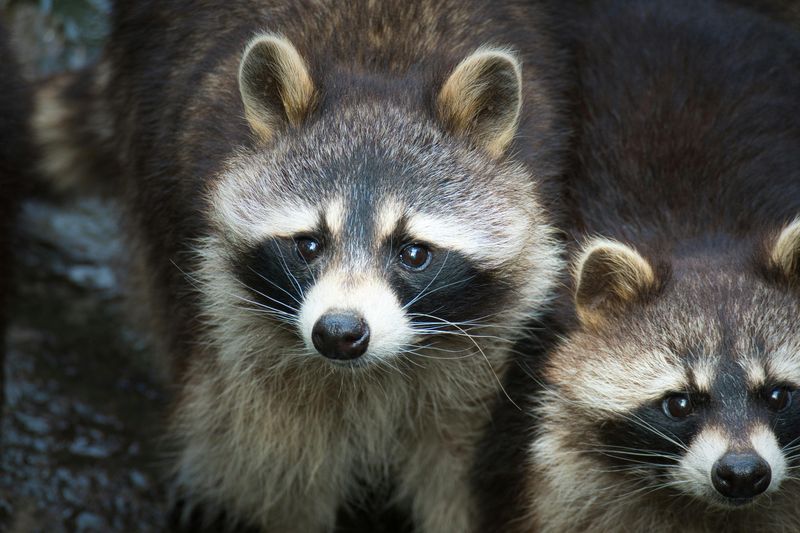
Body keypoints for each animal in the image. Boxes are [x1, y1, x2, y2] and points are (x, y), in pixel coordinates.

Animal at [33, 1, 568, 531]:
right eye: (308, 245)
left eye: (413, 254)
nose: (339, 332)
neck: (380, 68)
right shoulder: (223, 306)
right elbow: (278, 454)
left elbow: (459, 460)